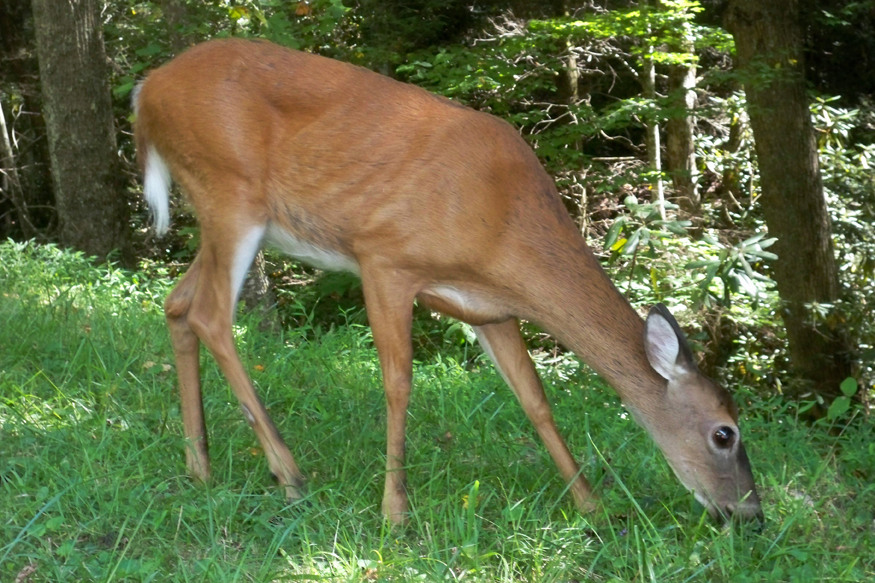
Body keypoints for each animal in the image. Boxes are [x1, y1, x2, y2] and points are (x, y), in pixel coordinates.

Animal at [133, 38, 764, 528]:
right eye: (725, 433)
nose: (751, 516)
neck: (503, 224)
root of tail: (145, 92)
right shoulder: (385, 257)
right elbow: (398, 383)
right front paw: (394, 512)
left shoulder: (491, 308)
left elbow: (535, 400)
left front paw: (592, 505)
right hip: (230, 190)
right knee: (212, 316)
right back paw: (287, 473)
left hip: (222, 212)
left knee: (177, 303)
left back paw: (199, 466)